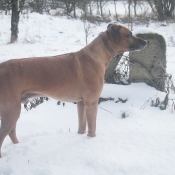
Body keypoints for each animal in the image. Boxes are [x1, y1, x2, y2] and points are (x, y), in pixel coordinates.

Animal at [0, 23, 148, 157]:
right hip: (11, 111)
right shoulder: (92, 102)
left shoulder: (81, 103)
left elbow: (82, 126)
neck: (97, 55)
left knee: (11, 132)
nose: (146, 41)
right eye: (129, 35)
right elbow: (92, 128)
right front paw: (92, 141)